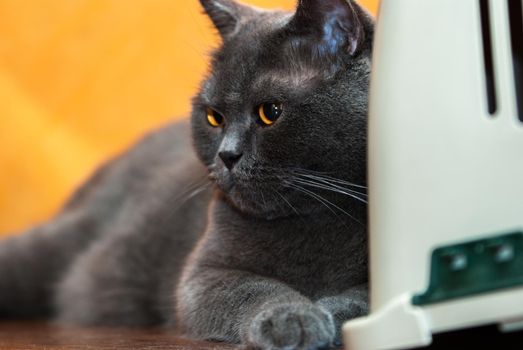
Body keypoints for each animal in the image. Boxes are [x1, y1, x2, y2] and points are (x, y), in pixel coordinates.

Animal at [1, 0, 376, 348]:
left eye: (270, 112)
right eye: (214, 117)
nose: (227, 155)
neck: (314, 217)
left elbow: (362, 299)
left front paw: (326, 316)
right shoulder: (203, 274)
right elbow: (254, 289)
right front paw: (292, 319)